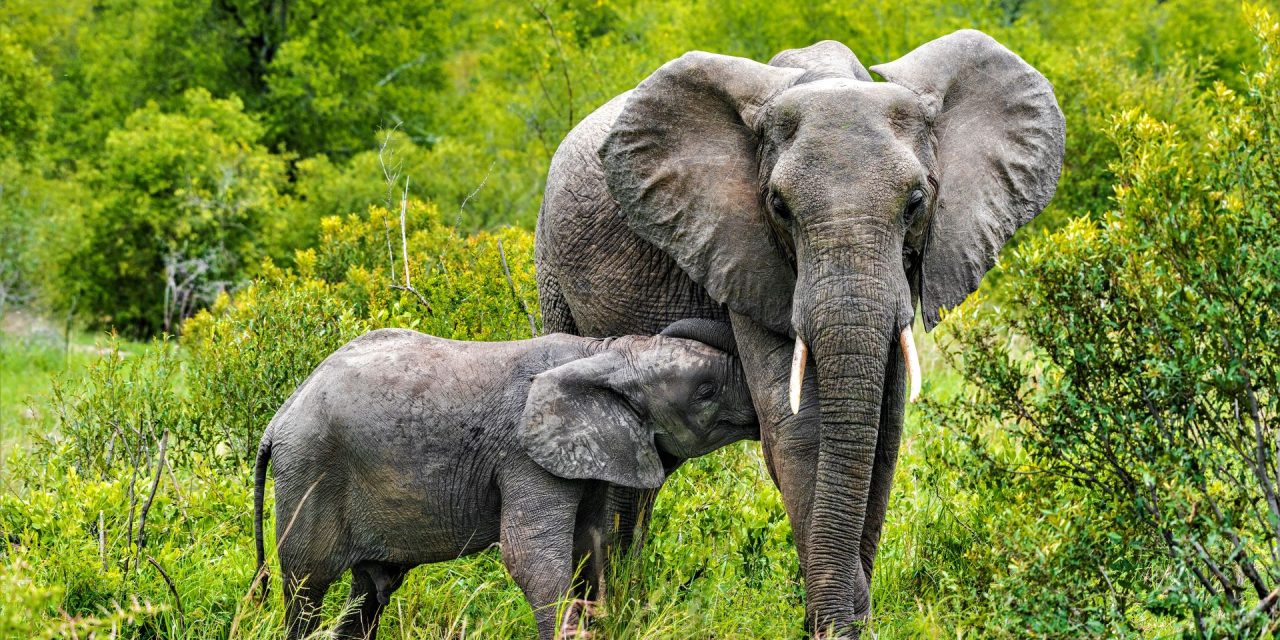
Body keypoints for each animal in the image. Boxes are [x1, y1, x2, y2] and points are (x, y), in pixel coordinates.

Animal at [251, 321, 757, 640]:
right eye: (706, 391)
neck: (600, 354)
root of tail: (278, 420)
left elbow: (593, 549)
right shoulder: (524, 457)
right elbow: (531, 560)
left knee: (370, 593)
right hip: (309, 471)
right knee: (305, 589)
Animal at [534, 31, 1064, 636]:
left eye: (916, 203)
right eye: (778, 206)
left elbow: (882, 430)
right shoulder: (742, 250)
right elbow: (800, 427)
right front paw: (839, 625)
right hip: (552, 268)